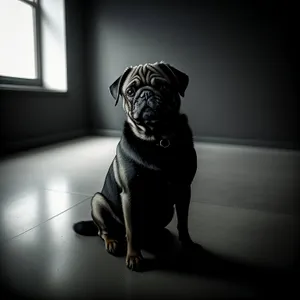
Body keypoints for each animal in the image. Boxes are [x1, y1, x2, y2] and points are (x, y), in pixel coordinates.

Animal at [73, 61, 197, 272]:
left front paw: (187, 243)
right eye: (130, 91)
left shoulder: (183, 189)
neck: (157, 139)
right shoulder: (131, 195)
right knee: (104, 231)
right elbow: (132, 231)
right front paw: (134, 257)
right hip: (98, 201)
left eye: (163, 86)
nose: (145, 94)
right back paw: (113, 242)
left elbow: (184, 221)